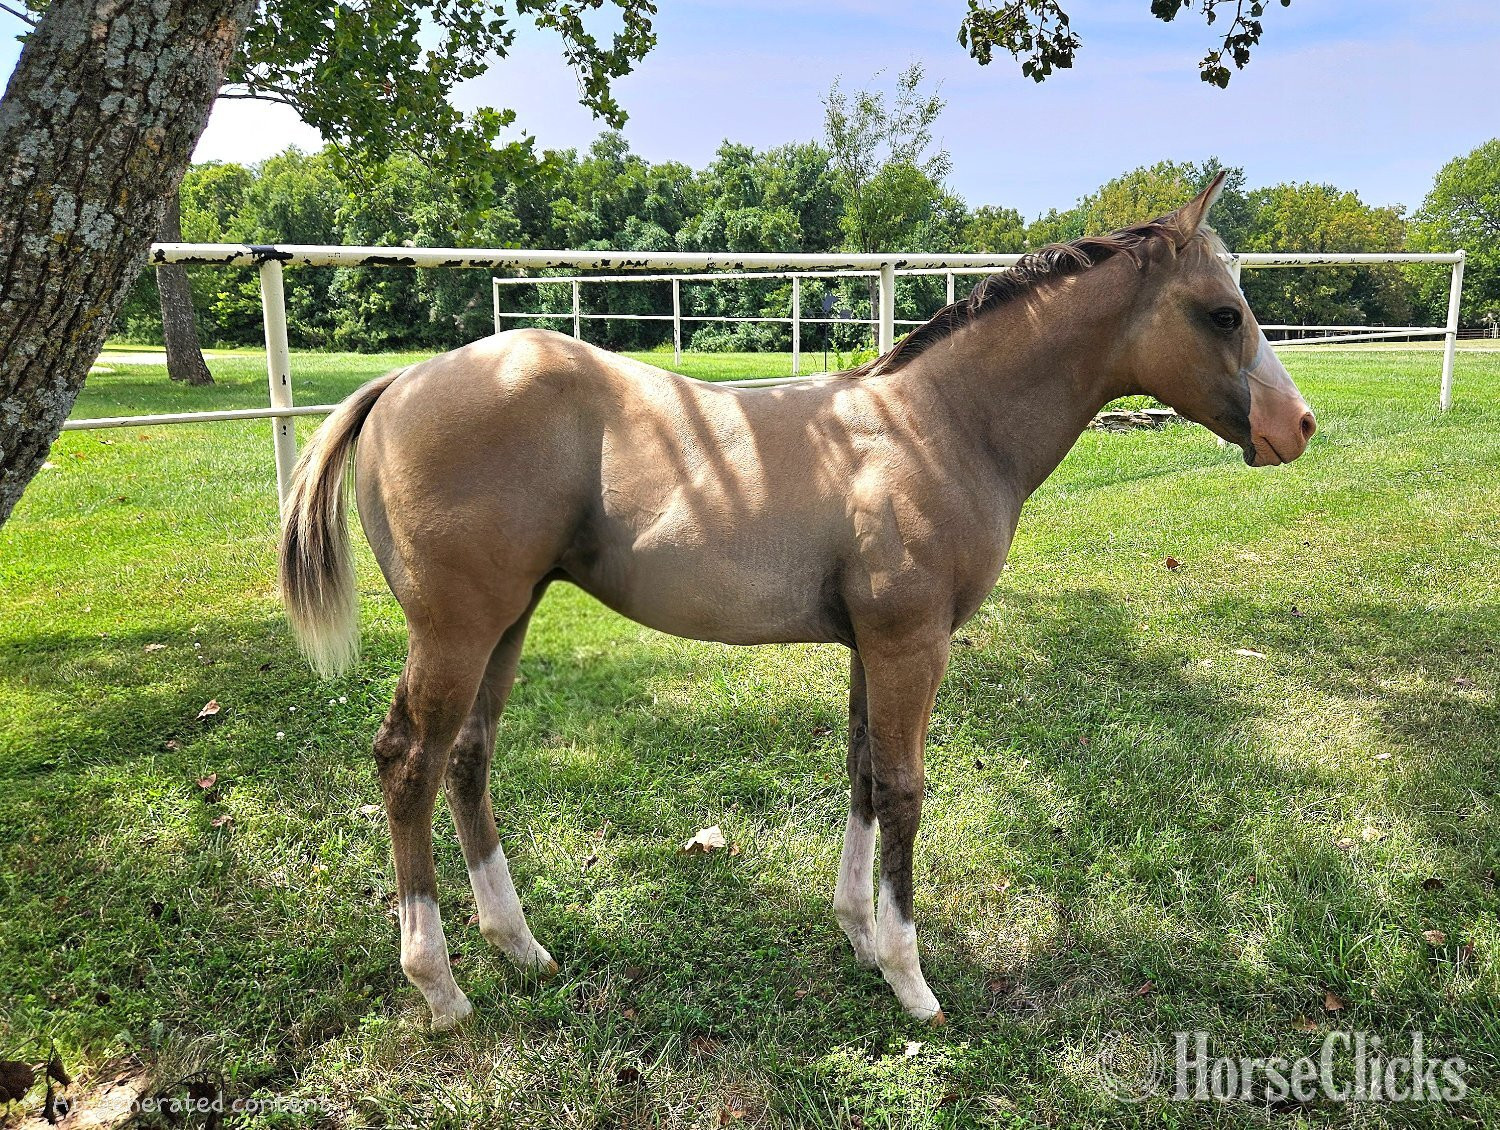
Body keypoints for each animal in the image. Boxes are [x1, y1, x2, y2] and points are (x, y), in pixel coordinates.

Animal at [278, 173, 1315, 1028]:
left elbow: (861, 774)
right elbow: (902, 790)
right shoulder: (911, 644)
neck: (938, 427)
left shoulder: (871, 645)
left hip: (508, 620)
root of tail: (402, 382)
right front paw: (910, 978)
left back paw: (521, 948)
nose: (1297, 425)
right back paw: (440, 988)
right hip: (455, 631)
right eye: (1225, 314)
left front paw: (858, 934)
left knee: (467, 760)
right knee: (408, 764)